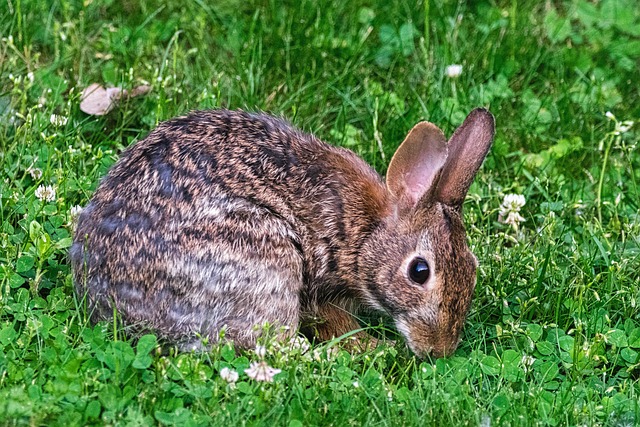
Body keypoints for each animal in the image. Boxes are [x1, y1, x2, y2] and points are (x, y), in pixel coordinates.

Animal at [72, 107, 498, 358]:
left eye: (473, 269)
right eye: (419, 271)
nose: (439, 350)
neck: (365, 233)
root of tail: (116, 308)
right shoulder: (318, 286)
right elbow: (333, 322)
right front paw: (370, 345)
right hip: (264, 263)